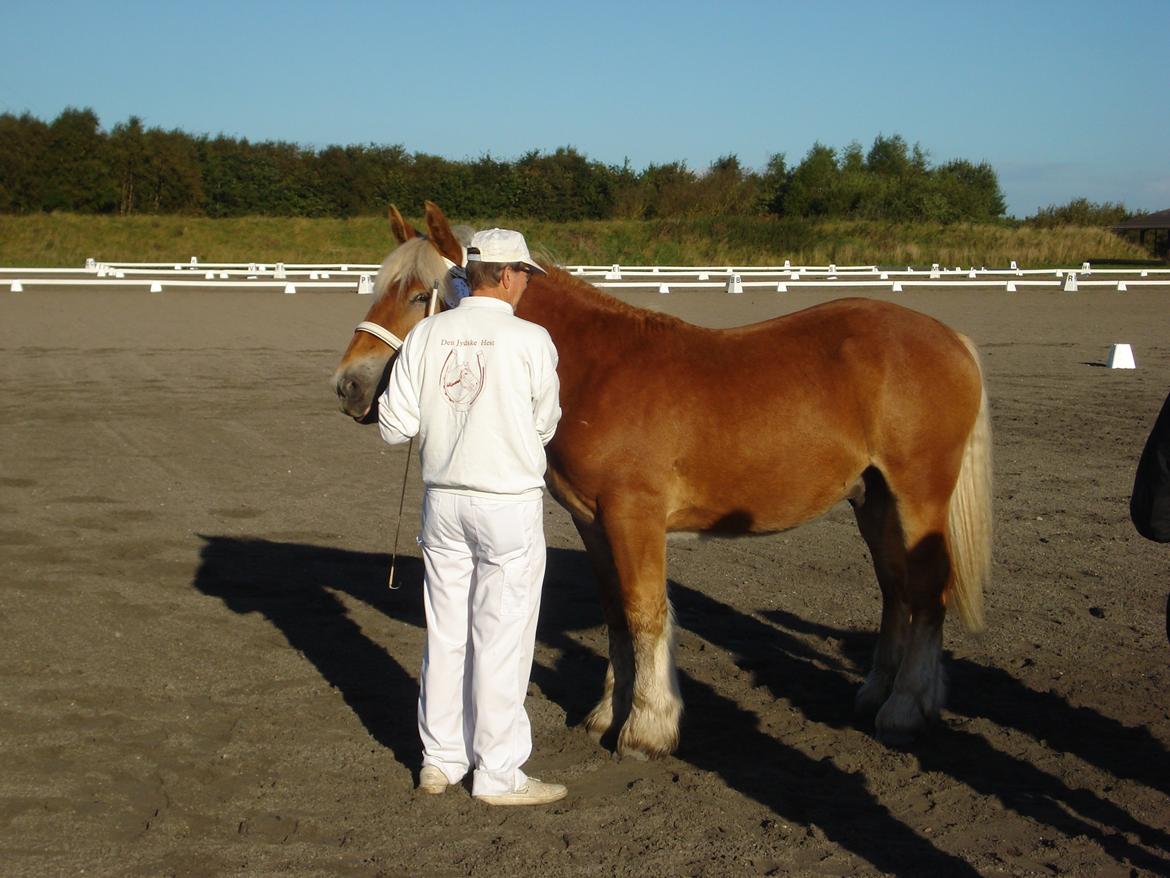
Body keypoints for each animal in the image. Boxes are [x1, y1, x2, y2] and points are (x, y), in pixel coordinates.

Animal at [334, 202, 992, 758]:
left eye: (420, 295)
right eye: (380, 287)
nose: (349, 387)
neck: (594, 371)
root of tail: (949, 338)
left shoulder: (635, 518)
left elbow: (646, 614)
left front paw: (646, 729)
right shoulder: (594, 523)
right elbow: (616, 615)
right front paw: (606, 714)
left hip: (917, 497)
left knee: (926, 591)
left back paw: (905, 711)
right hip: (873, 501)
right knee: (896, 590)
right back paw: (875, 694)